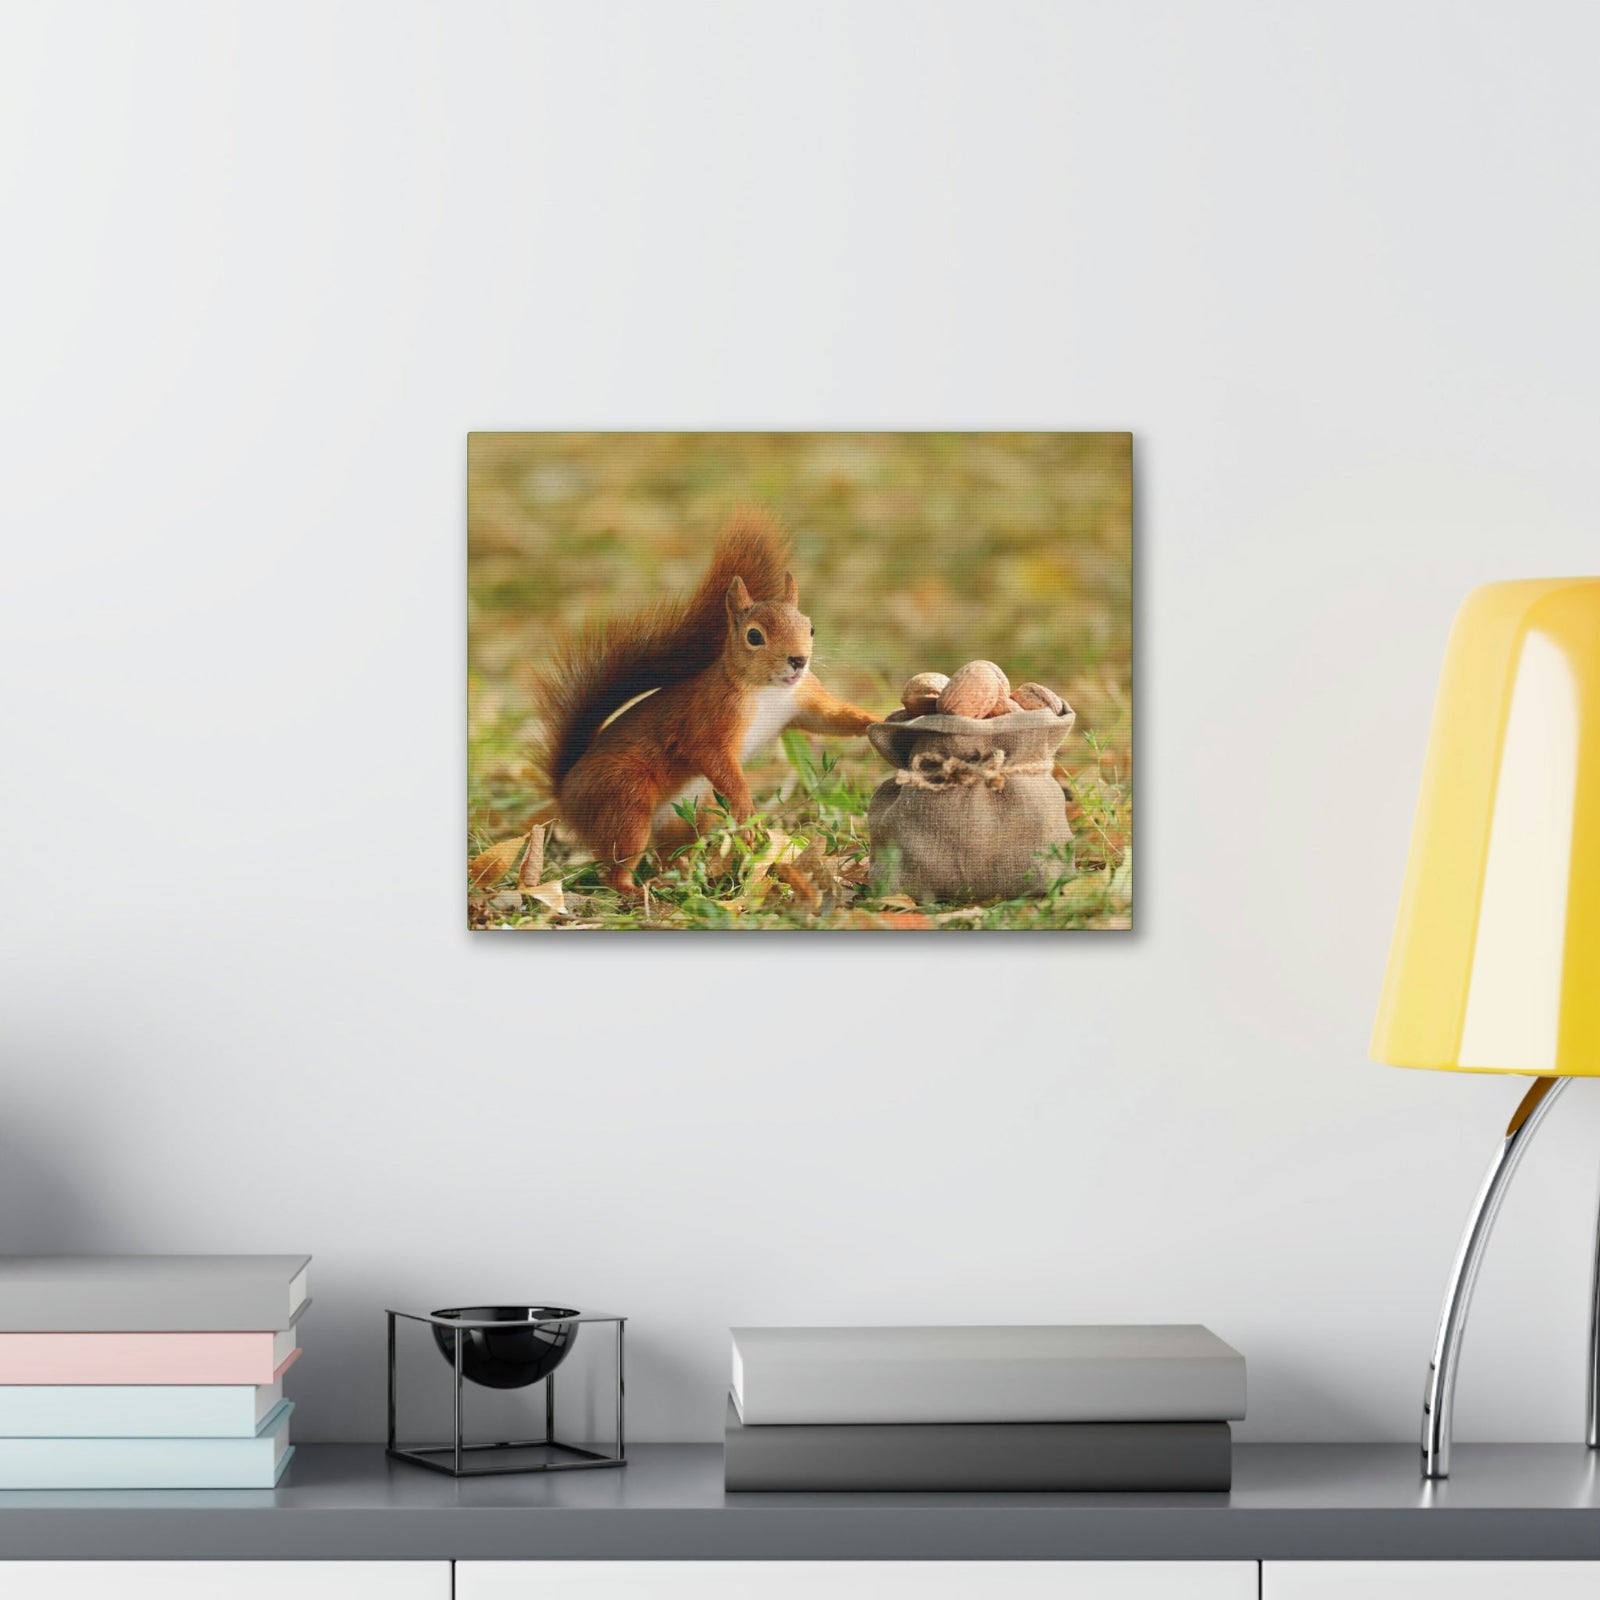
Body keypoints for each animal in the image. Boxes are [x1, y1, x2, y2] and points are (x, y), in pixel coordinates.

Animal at [532, 509, 882, 897]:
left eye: (811, 627)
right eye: (754, 636)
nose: (798, 660)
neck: (769, 690)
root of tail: (565, 793)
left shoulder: (802, 700)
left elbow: (831, 718)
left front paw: (877, 720)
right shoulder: (710, 718)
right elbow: (714, 758)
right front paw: (748, 816)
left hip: (685, 817)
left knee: (670, 852)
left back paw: (686, 875)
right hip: (624, 801)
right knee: (617, 863)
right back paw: (636, 889)